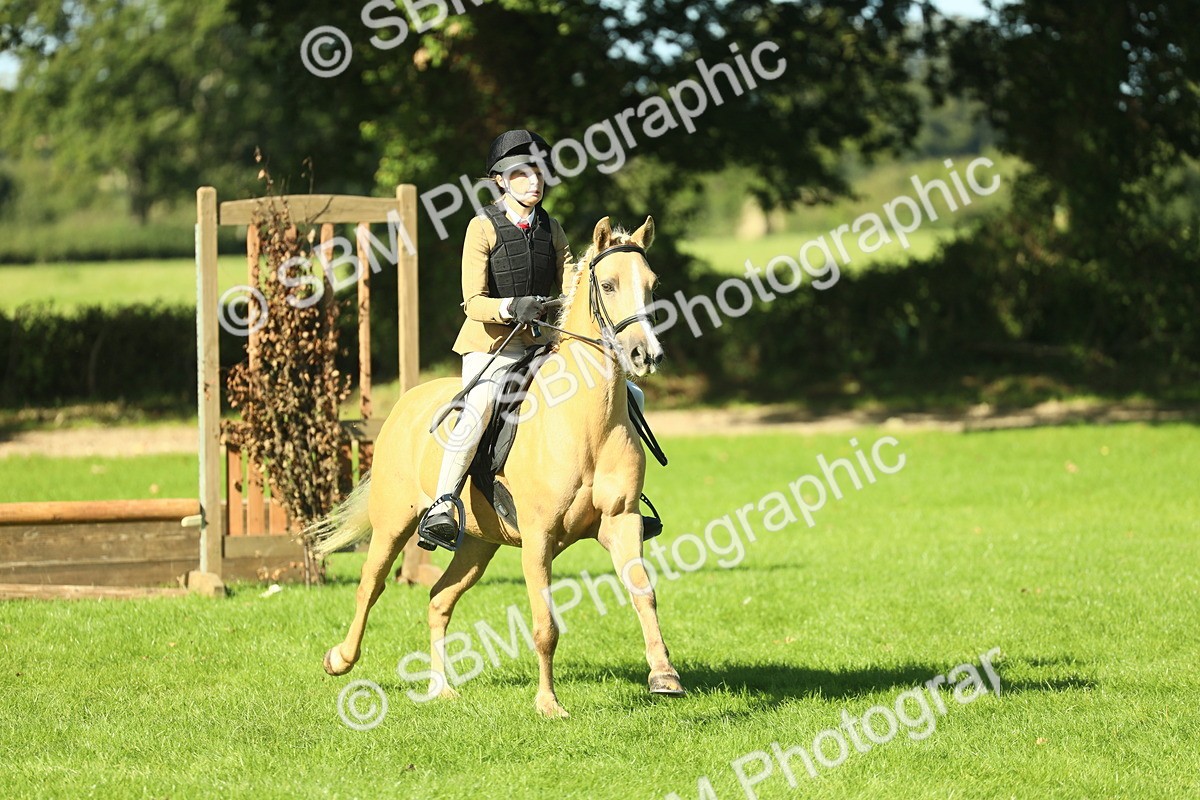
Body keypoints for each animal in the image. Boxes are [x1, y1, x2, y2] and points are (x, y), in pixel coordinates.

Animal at [310, 215, 684, 718]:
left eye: (651, 284)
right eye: (608, 285)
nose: (647, 356)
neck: (587, 421)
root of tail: (406, 402)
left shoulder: (619, 521)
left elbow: (643, 592)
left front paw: (664, 675)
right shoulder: (539, 538)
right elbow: (545, 625)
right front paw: (548, 704)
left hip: (477, 543)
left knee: (438, 598)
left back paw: (440, 688)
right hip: (393, 523)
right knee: (371, 585)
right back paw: (340, 660)